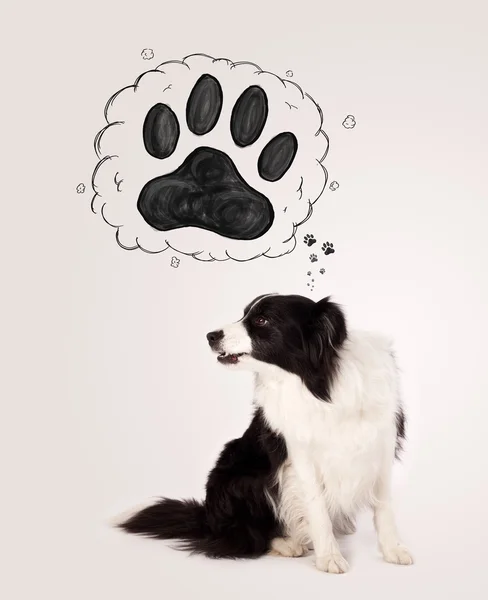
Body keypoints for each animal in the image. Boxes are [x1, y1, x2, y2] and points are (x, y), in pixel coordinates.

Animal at [120, 294, 414, 572]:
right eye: (244, 315)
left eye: (262, 320)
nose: (210, 336)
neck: (319, 383)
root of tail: (207, 517)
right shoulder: (300, 455)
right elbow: (317, 506)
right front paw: (329, 556)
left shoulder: (380, 442)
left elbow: (384, 505)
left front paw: (393, 549)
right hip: (242, 474)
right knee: (246, 537)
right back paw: (287, 543)